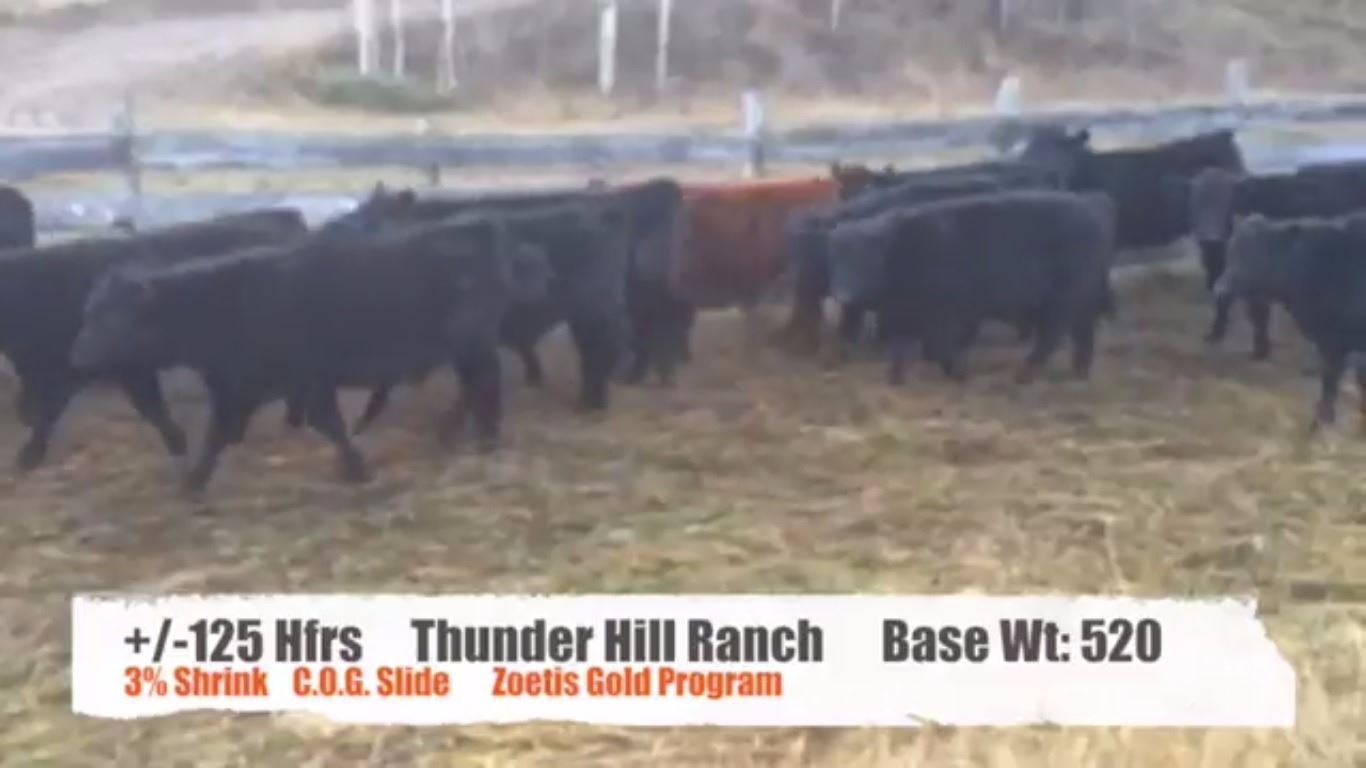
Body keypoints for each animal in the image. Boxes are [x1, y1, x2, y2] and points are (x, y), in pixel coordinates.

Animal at [70, 215, 514, 496]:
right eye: (88, 310)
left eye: (111, 317)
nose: (78, 356)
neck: (227, 303)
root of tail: (475, 226)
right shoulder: (239, 386)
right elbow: (219, 434)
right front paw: (195, 481)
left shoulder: (303, 379)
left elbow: (326, 423)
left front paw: (356, 468)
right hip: (464, 347)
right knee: (471, 388)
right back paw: (455, 433)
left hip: (471, 342)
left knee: (485, 383)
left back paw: (486, 438)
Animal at [828, 190, 1115, 386]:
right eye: (837, 258)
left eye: (865, 257)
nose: (844, 296)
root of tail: (1091, 207)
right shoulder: (899, 316)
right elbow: (899, 349)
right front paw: (895, 379)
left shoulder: (945, 315)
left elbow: (937, 349)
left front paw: (959, 373)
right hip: (1081, 301)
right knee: (1082, 334)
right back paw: (1078, 371)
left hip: (1063, 300)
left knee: (1052, 336)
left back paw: (1024, 374)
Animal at [1189, 166, 1366, 359]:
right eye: (1196, 202)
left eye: (1229, 202)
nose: (1210, 239)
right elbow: (1224, 303)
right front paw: (1215, 334)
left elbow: (1258, 313)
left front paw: (1261, 349)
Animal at [1214, 213, 1366, 435]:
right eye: (1230, 251)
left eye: (1258, 254)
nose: (1220, 289)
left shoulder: (1333, 339)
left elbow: (1331, 378)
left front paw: (1320, 421)